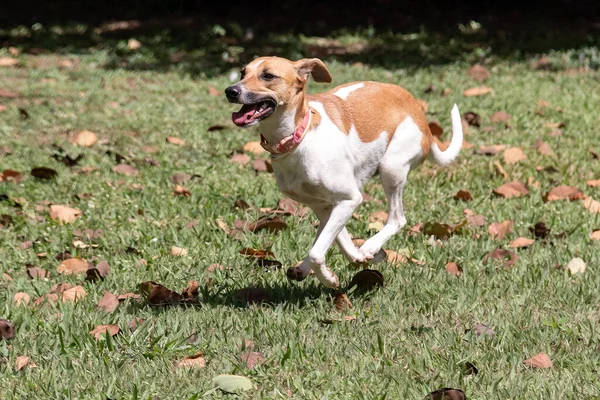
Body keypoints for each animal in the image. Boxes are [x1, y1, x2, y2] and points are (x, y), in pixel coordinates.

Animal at [225, 56, 464, 288]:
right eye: (243, 72)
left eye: (268, 76)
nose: (230, 91)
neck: (299, 137)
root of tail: (424, 123)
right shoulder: (323, 205)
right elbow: (337, 240)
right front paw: (359, 258)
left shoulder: (349, 199)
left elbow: (318, 252)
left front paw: (333, 276)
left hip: (392, 168)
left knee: (397, 219)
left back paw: (370, 245)